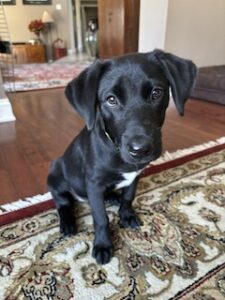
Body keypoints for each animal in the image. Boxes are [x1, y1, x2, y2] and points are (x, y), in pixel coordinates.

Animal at [48, 49, 197, 264]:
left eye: (156, 93)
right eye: (111, 100)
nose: (140, 149)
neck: (115, 149)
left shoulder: (135, 175)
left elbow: (128, 197)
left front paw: (126, 215)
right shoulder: (94, 184)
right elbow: (101, 218)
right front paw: (103, 244)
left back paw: (112, 197)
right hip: (56, 174)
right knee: (63, 202)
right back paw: (67, 222)